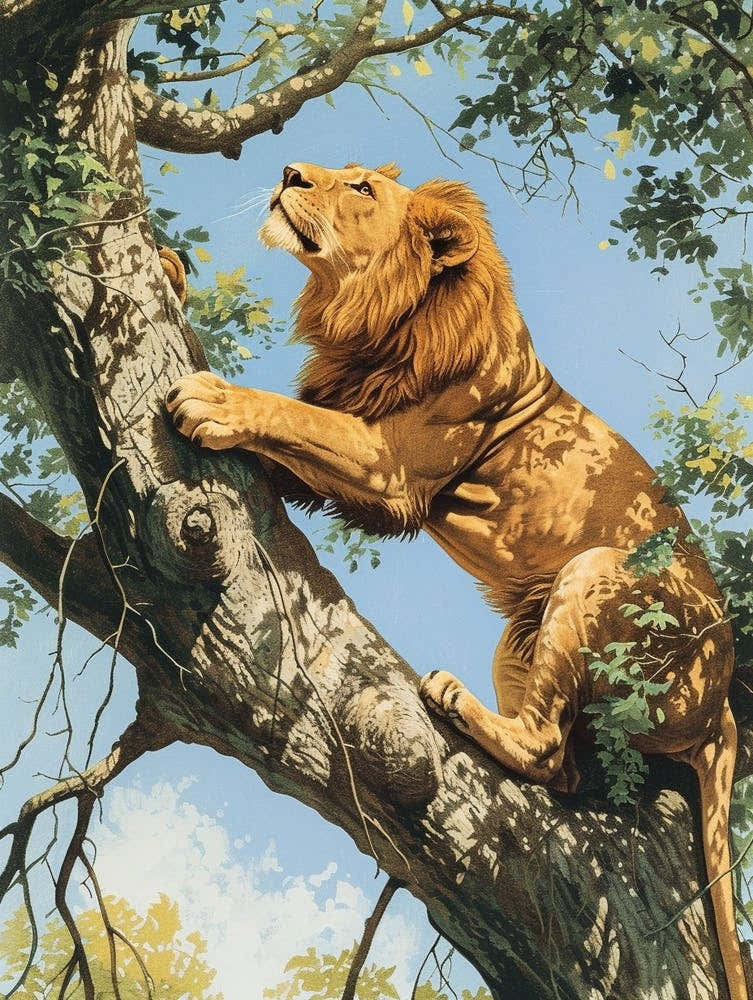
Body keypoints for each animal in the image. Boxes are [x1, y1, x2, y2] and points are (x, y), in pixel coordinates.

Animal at [163, 161, 745, 999]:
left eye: (361, 188)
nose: (289, 172)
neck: (375, 317)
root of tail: (723, 704)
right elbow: (288, 427)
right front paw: (170, 272)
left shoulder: (386, 470)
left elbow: (290, 416)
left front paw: (212, 396)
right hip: (522, 635)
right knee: (565, 768)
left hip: (593, 573)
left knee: (544, 747)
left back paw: (454, 699)